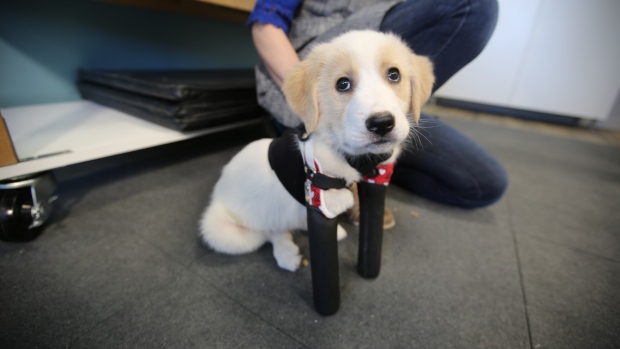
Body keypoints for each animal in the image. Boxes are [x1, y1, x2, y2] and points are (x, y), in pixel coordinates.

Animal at [201, 29, 434, 270]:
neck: (347, 155)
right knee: (267, 232)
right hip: (224, 232)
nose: (382, 123)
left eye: (394, 75)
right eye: (342, 84)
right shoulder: (320, 200)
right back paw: (286, 253)